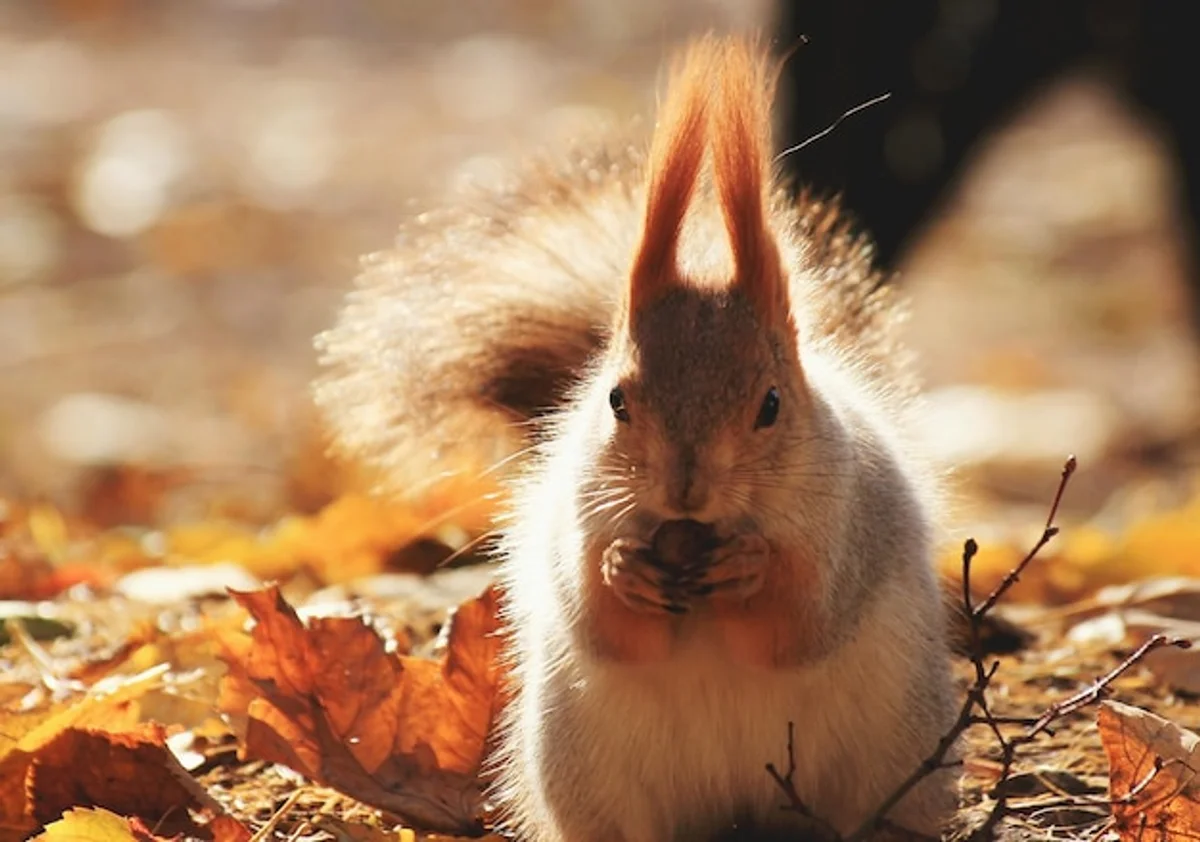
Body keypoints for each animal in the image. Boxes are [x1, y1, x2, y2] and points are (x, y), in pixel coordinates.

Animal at [316, 34, 958, 842]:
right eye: (616, 399)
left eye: (772, 405)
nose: (686, 491)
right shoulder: (578, 515)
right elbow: (604, 624)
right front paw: (624, 569)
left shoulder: (851, 525)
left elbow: (799, 627)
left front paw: (751, 567)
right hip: (591, 780)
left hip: (894, 768)